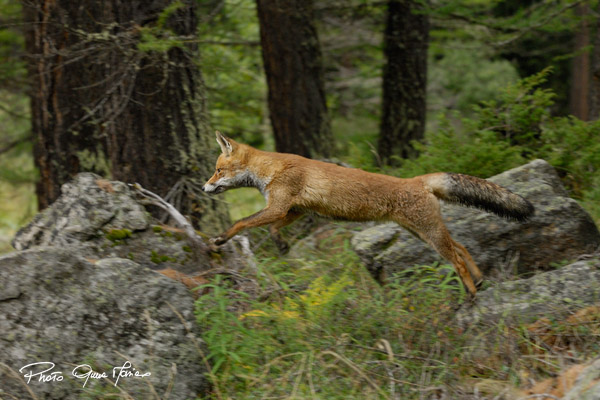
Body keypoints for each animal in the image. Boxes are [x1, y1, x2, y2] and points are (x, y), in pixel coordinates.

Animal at [203, 132, 536, 296]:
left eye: (218, 170)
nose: (204, 187)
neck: (271, 169)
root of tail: (416, 180)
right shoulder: (295, 209)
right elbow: (272, 228)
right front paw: (281, 244)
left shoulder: (280, 206)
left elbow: (241, 222)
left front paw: (220, 239)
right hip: (422, 233)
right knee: (462, 247)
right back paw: (479, 281)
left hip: (429, 234)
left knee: (456, 257)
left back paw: (470, 293)